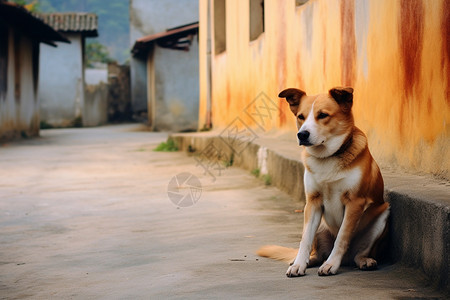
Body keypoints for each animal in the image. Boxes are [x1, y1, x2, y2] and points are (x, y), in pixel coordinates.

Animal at [256, 86, 390, 276]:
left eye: (323, 115)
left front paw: (331, 264)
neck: (327, 157)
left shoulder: (355, 202)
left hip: (382, 215)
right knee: (316, 252)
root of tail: (347, 260)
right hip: (318, 225)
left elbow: (342, 237)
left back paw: (364, 261)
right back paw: (304, 260)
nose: (302, 134)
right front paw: (299, 264)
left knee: (358, 253)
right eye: (301, 116)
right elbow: (305, 239)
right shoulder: (313, 202)